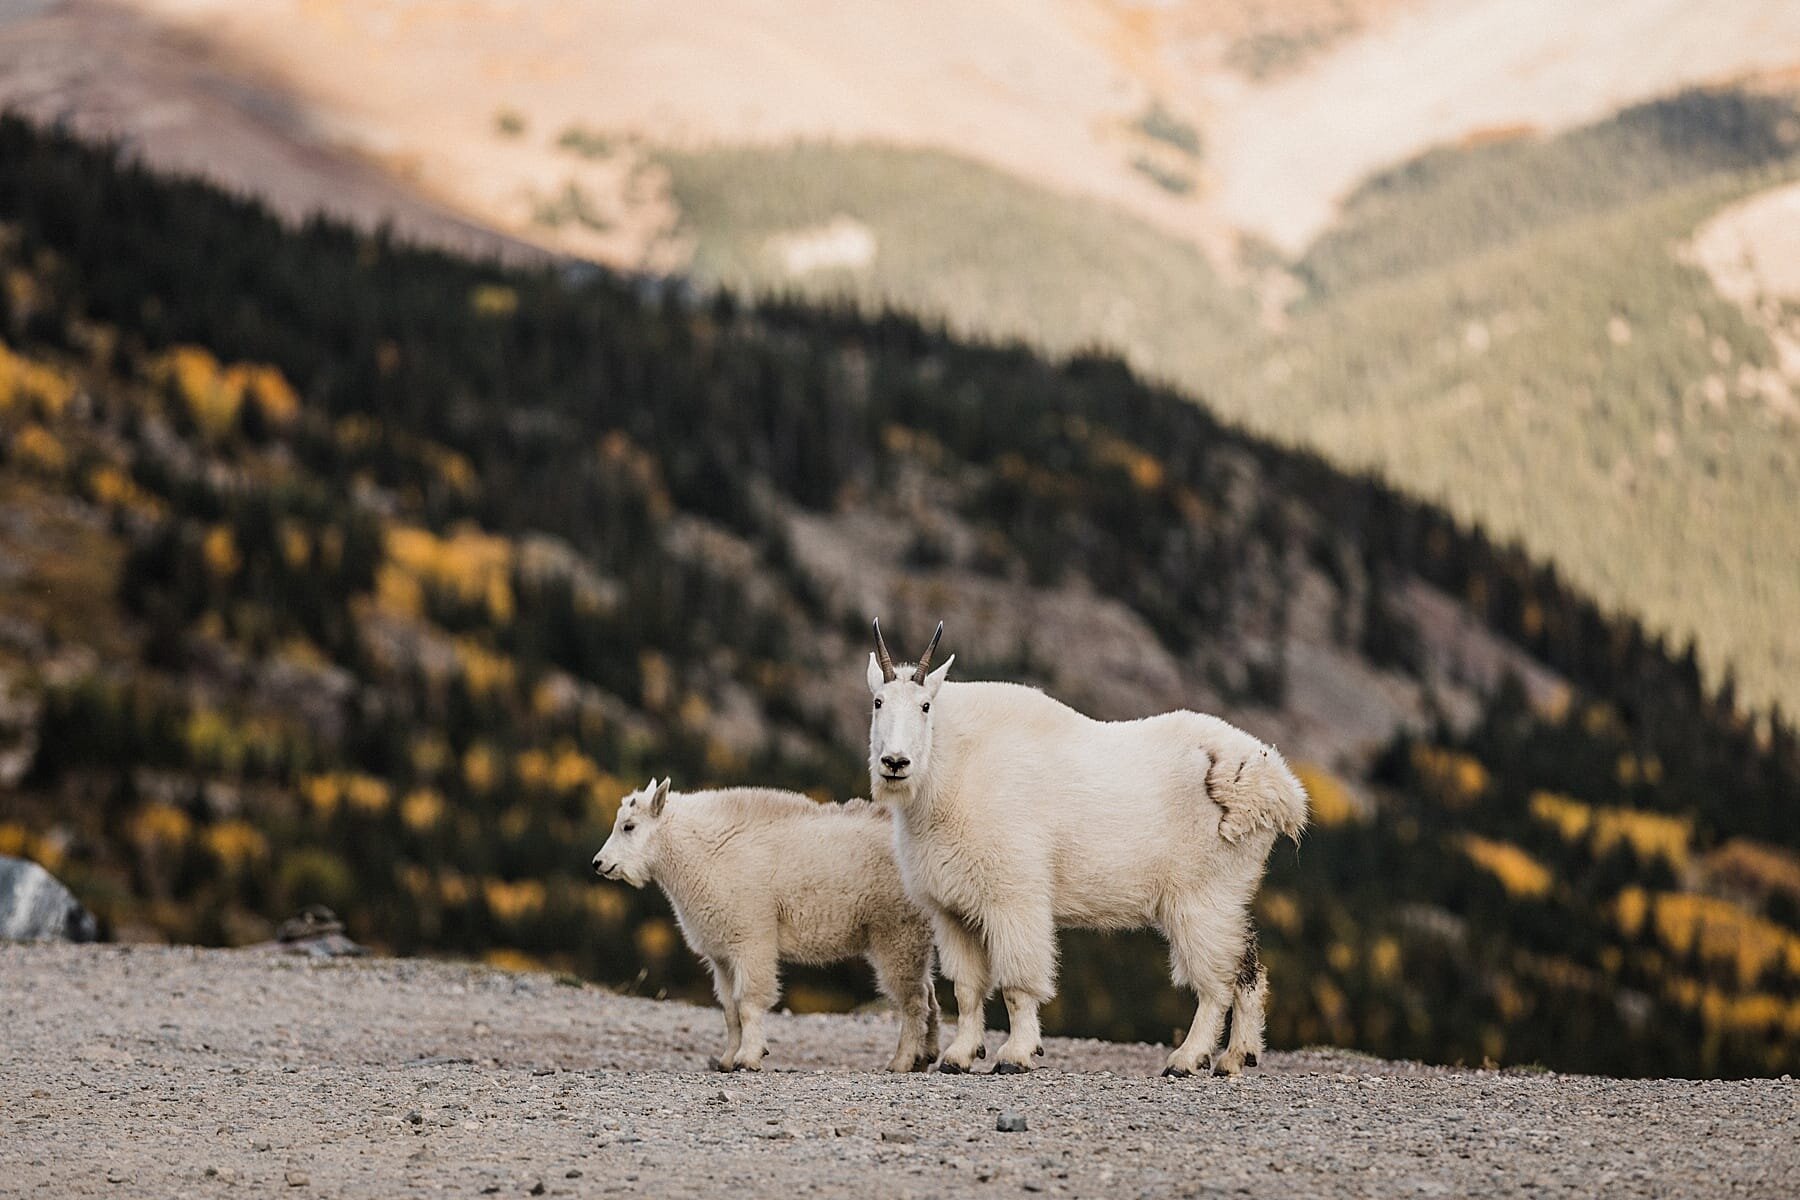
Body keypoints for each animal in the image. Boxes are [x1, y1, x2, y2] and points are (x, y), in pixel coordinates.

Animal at [594, 784, 943, 1072]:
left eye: (629, 826)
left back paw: (901, 1061)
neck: (704, 852)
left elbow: (749, 1002)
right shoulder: (722, 954)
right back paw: (926, 1057)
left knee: (913, 999)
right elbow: (730, 1008)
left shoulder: (751, 939)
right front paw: (726, 1060)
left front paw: (748, 1058)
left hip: (898, 931)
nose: (599, 863)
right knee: (928, 993)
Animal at [864, 626, 1303, 1072]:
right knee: (1248, 965)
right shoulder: (953, 909)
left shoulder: (1014, 897)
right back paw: (1236, 1057)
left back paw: (1186, 1059)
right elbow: (967, 989)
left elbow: (1017, 984)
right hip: (1227, 895)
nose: (895, 763)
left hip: (1200, 896)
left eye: (925, 706)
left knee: (1216, 980)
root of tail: (1276, 787)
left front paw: (1017, 1054)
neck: (951, 771)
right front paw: (958, 1057)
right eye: (878, 701)